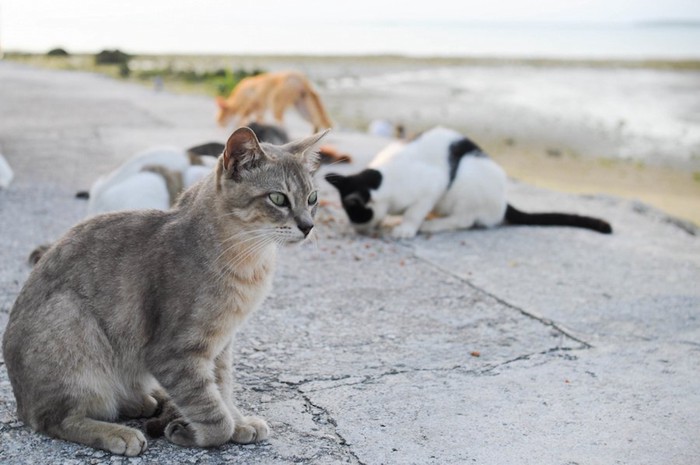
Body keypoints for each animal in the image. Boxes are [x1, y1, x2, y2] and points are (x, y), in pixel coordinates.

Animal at [2, 126, 326, 454]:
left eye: (312, 198)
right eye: (278, 198)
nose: (308, 226)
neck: (249, 261)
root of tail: (21, 401)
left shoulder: (221, 346)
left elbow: (222, 388)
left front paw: (238, 421)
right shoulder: (174, 353)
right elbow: (211, 411)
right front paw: (200, 432)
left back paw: (142, 402)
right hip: (71, 327)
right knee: (56, 419)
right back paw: (118, 433)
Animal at [326, 126, 608, 237]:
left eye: (355, 213)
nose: (356, 229)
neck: (384, 178)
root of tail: (503, 200)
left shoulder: (431, 187)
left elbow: (415, 211)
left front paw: (406, 227)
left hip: (468, 179)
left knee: (465, 219)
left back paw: (433, 224)